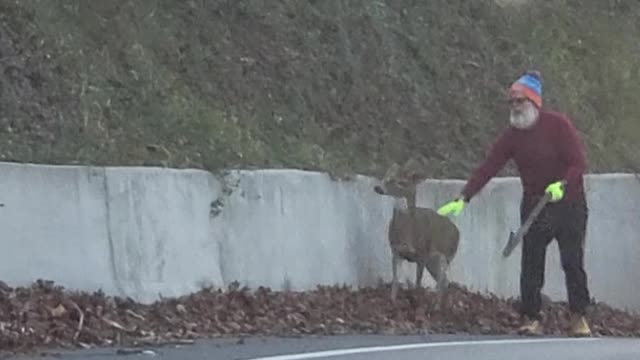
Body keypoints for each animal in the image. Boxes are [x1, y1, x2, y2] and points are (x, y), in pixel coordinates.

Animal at [376, 159, 460, 302]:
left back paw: (438, 304)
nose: (378, 188)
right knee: (444, 281)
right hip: (432, 261)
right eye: (386, 177)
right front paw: (392, 301)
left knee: (442, 282)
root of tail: (457, 231)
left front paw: (416, 303)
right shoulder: (395, 250)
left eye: (401, 182)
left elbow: (417, 283)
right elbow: (395, 282)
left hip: (446, 255)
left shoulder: (422, 253)